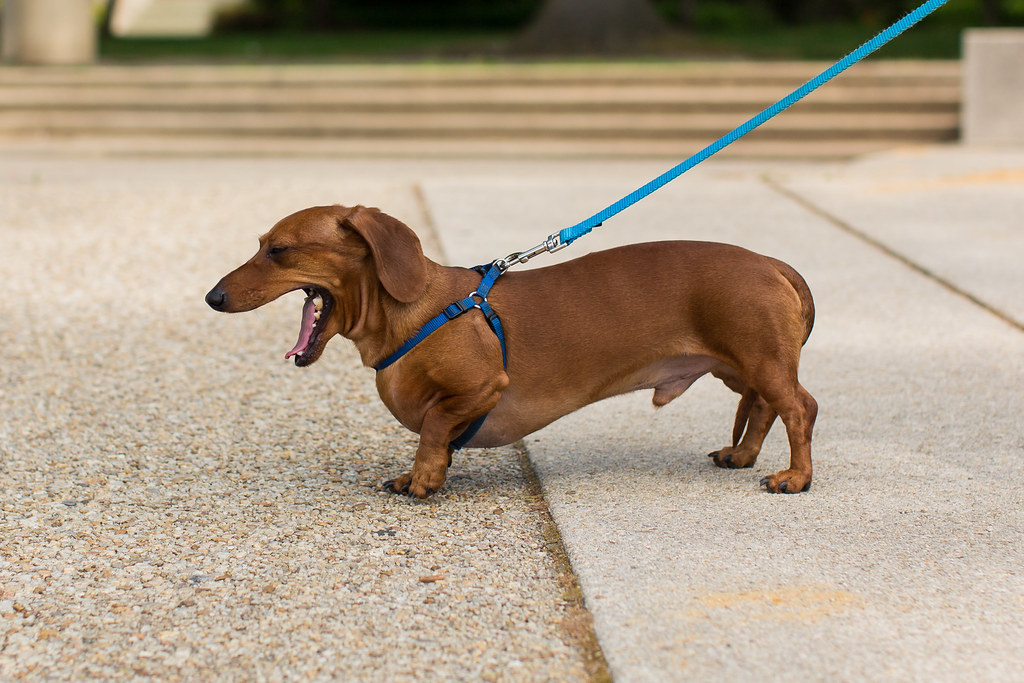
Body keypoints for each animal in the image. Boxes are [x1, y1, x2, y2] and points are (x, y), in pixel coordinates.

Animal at [207, 202, 815, 497]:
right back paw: (743, 455)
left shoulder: (480, 387)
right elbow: (438, 435)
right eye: (260, 244)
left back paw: (796, 478)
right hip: (738, 368)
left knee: (798, 408)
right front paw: (420, 474)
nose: (212, 297)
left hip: (758, 360)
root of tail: (773, 263)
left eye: (279, 250)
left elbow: (434, 428)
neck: (418, 310)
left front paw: (424, 479)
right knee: (766, 407)